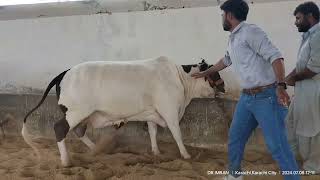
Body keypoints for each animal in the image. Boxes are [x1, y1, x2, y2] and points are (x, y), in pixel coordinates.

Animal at [21, 56, 225, 166]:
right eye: (215, 73)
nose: (223, 86)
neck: (180, 78)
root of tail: (66, 71)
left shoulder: (152, 112)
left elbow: (152, 131)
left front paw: (156, 151)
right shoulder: (169, 110)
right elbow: (177, 133)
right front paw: (186, 155)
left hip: (83, 115)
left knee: (79, 131)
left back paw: (96, 149)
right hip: (75, 111)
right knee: (60, 128)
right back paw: (66, 161)